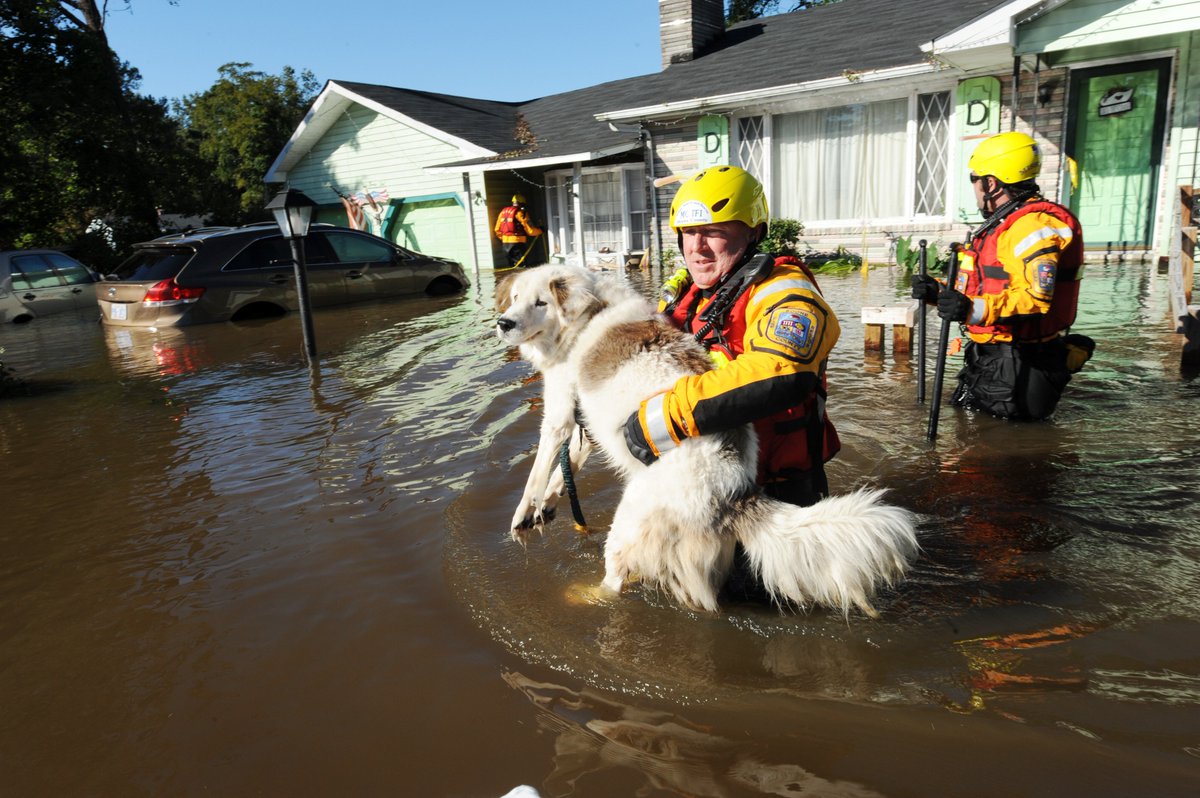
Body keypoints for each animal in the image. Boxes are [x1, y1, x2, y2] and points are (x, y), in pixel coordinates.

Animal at [496, 264, 916, 612]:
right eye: (516, 298)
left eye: (541, 302)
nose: (504, 323)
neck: (590, 312)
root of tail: (736, 493)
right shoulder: (580, 419)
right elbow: (568, 462)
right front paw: (548, 504)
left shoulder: (559, 409)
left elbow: (539, 467)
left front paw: (522, 514)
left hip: (628, 527)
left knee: (617, 581)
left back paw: (583, 596)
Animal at [624, 164, 840, 506]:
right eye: (691, 233)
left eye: (714, 232)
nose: (697, 251)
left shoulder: (788, 285)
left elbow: (780, 368)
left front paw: (646, 424)